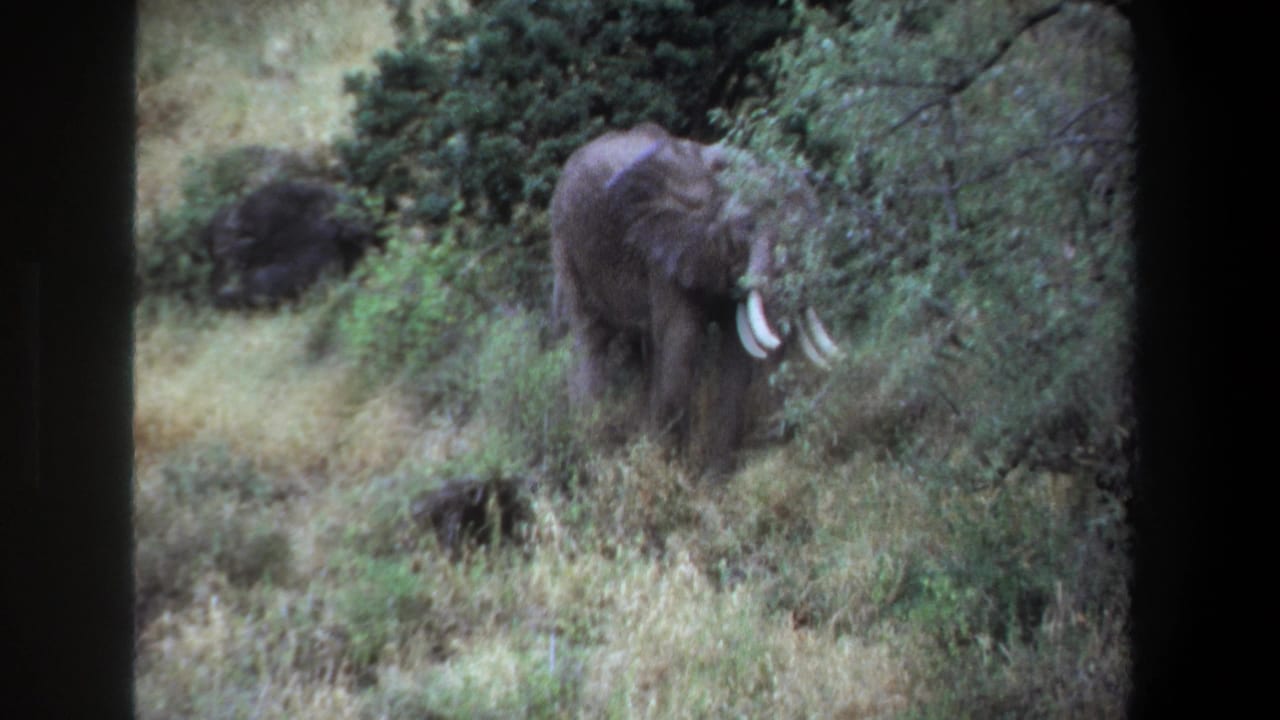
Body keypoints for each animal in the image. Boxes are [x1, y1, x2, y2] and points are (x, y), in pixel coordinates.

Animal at [550, 123, 839, 474]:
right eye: (748, 226)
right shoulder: (663, 251)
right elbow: (681, 342)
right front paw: (672, 474)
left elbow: (736, 354)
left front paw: (715, 479)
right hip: (566, 241)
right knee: (589, 338)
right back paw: (593, 452)